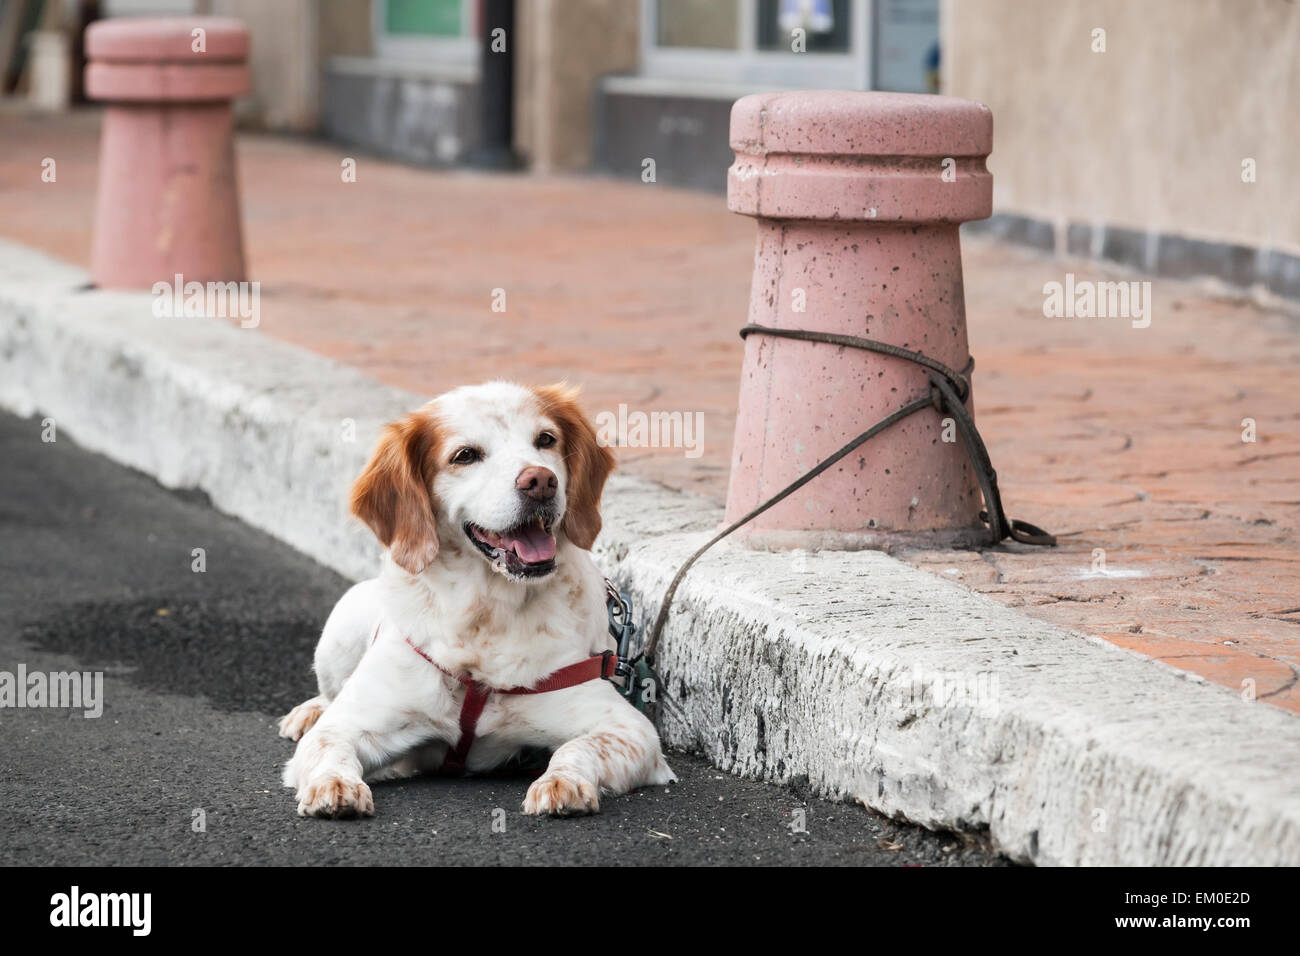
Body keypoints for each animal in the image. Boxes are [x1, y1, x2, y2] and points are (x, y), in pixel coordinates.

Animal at [279, 385, 676, 816]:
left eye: (546, 440)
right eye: (465, 455)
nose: (541, 480)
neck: (486, 614)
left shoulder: (627, 728)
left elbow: (578, 748)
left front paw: (563, 782)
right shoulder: (350, 724)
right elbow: (328, 745)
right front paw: (334, 784)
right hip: (339, 631)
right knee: (328, 695)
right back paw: (308, 711)